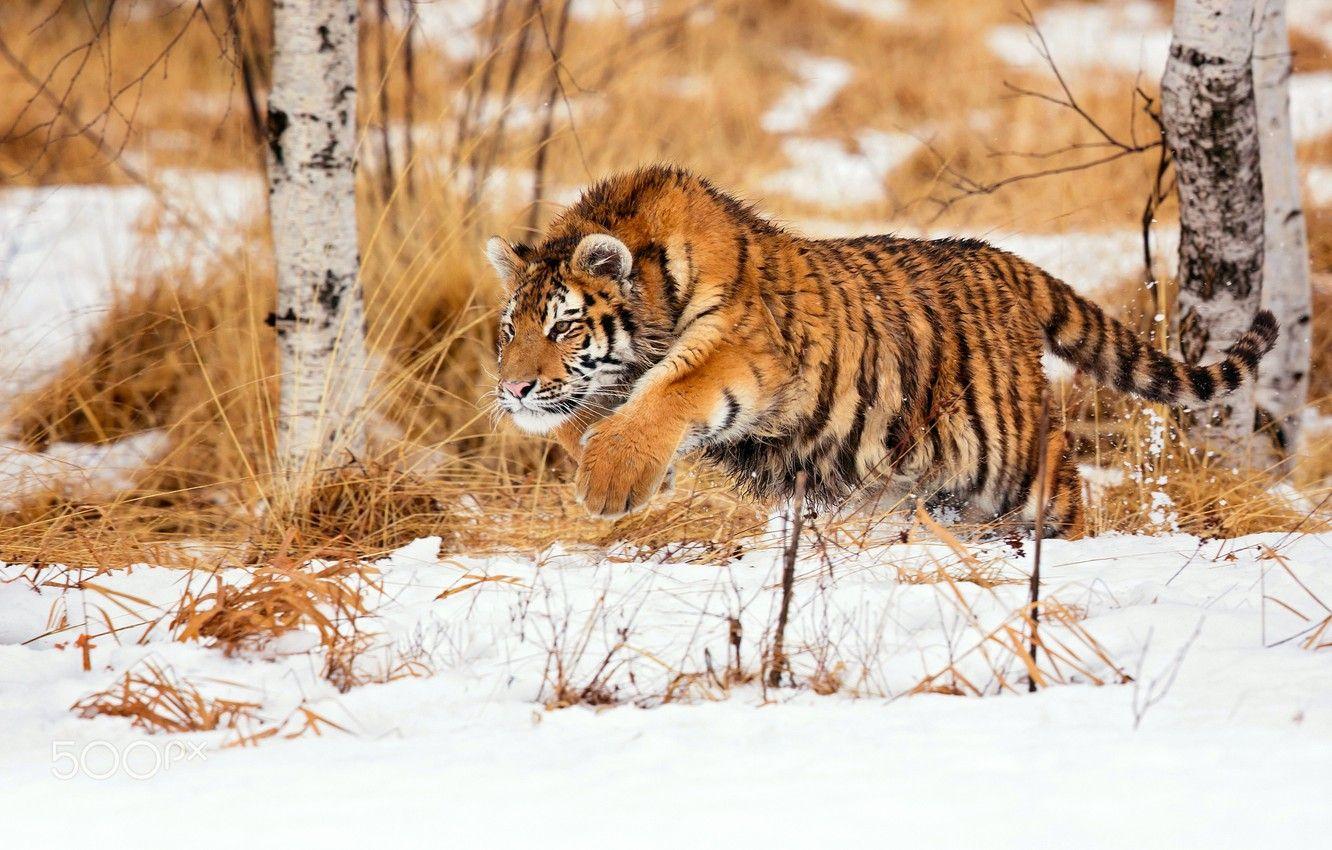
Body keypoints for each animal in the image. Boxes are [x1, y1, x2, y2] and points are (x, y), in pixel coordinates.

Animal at [487, 164, 1278, 537]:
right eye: (510, 332)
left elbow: (674, 387)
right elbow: (594, 415)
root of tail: (1006, 261)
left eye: (563, 327)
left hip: (1013, 457)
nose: (515, 389)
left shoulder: (743, 349)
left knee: (1070, 492)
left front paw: (610, 481)